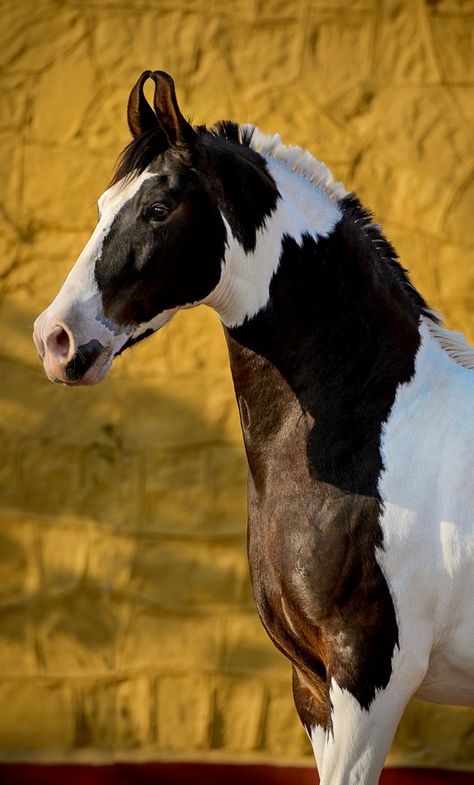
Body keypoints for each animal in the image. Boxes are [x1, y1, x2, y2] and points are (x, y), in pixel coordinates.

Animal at [34, 70, 474, 780]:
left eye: (158, 209)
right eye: (102, 205)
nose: (55, 339)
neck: (378, 432)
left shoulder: (370, 683)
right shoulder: (313, 687)